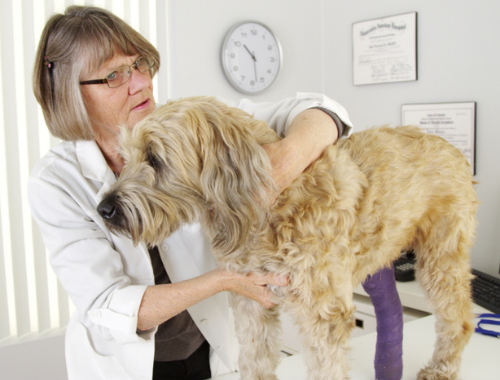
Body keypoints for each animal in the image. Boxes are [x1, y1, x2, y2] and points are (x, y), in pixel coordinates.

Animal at [96, 96, 476, 378]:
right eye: (125, 157)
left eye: (155, 158)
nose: (103, 209)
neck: (272, 208)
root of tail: (452, 147)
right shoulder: (252, 302)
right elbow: (255, 361)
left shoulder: (324, 314)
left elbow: (327, 369)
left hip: (441, 259)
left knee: (458, 318)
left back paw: (442, 367)